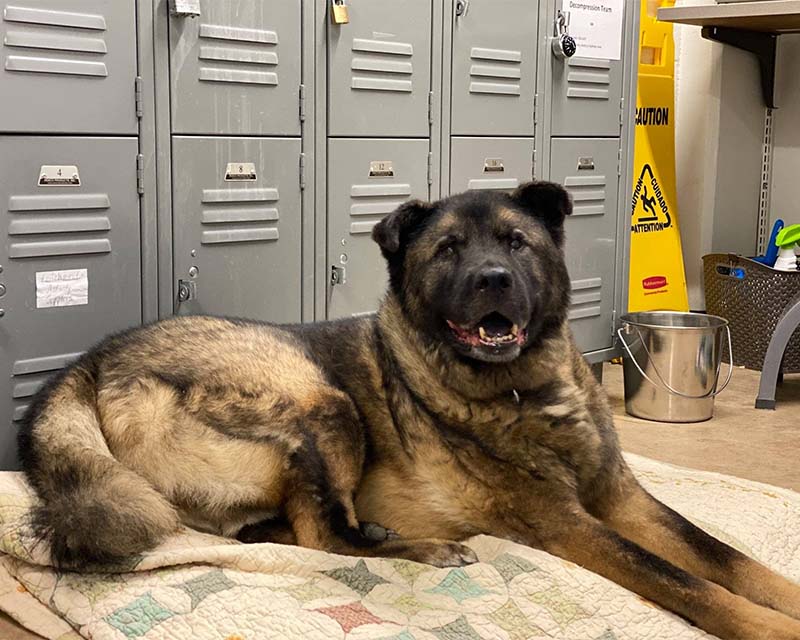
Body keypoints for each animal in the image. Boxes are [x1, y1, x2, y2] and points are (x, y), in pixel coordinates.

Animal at [15, 182, 800, 636]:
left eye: (516, 242)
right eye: (448, 250)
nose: (493, 279)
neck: (526, 387)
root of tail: (93, 361)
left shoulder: (623, 499)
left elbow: (724, 558)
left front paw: (783, 595)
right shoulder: (571, 524)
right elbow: (687, 582)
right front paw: (770, 627)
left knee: (284, 534)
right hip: (323, 402)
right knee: (324, 538)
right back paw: (422, 547)